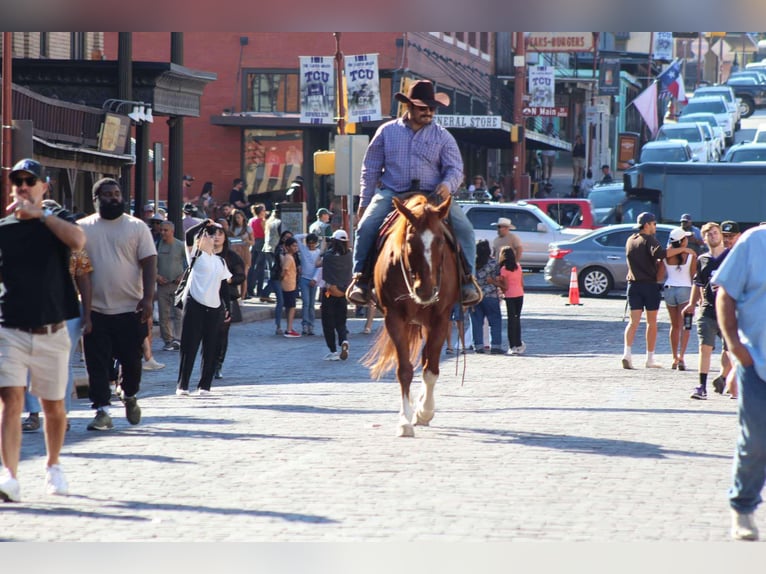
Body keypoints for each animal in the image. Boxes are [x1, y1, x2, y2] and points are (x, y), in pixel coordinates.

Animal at [364, 196, 460, 438]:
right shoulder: (394, 319)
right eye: (409, 241)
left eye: (440, 241)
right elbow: (405, 370)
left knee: (428, 360)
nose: (425, 290)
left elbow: (431, 370)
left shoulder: (441, 319)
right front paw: (404, 421)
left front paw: (424, 412)